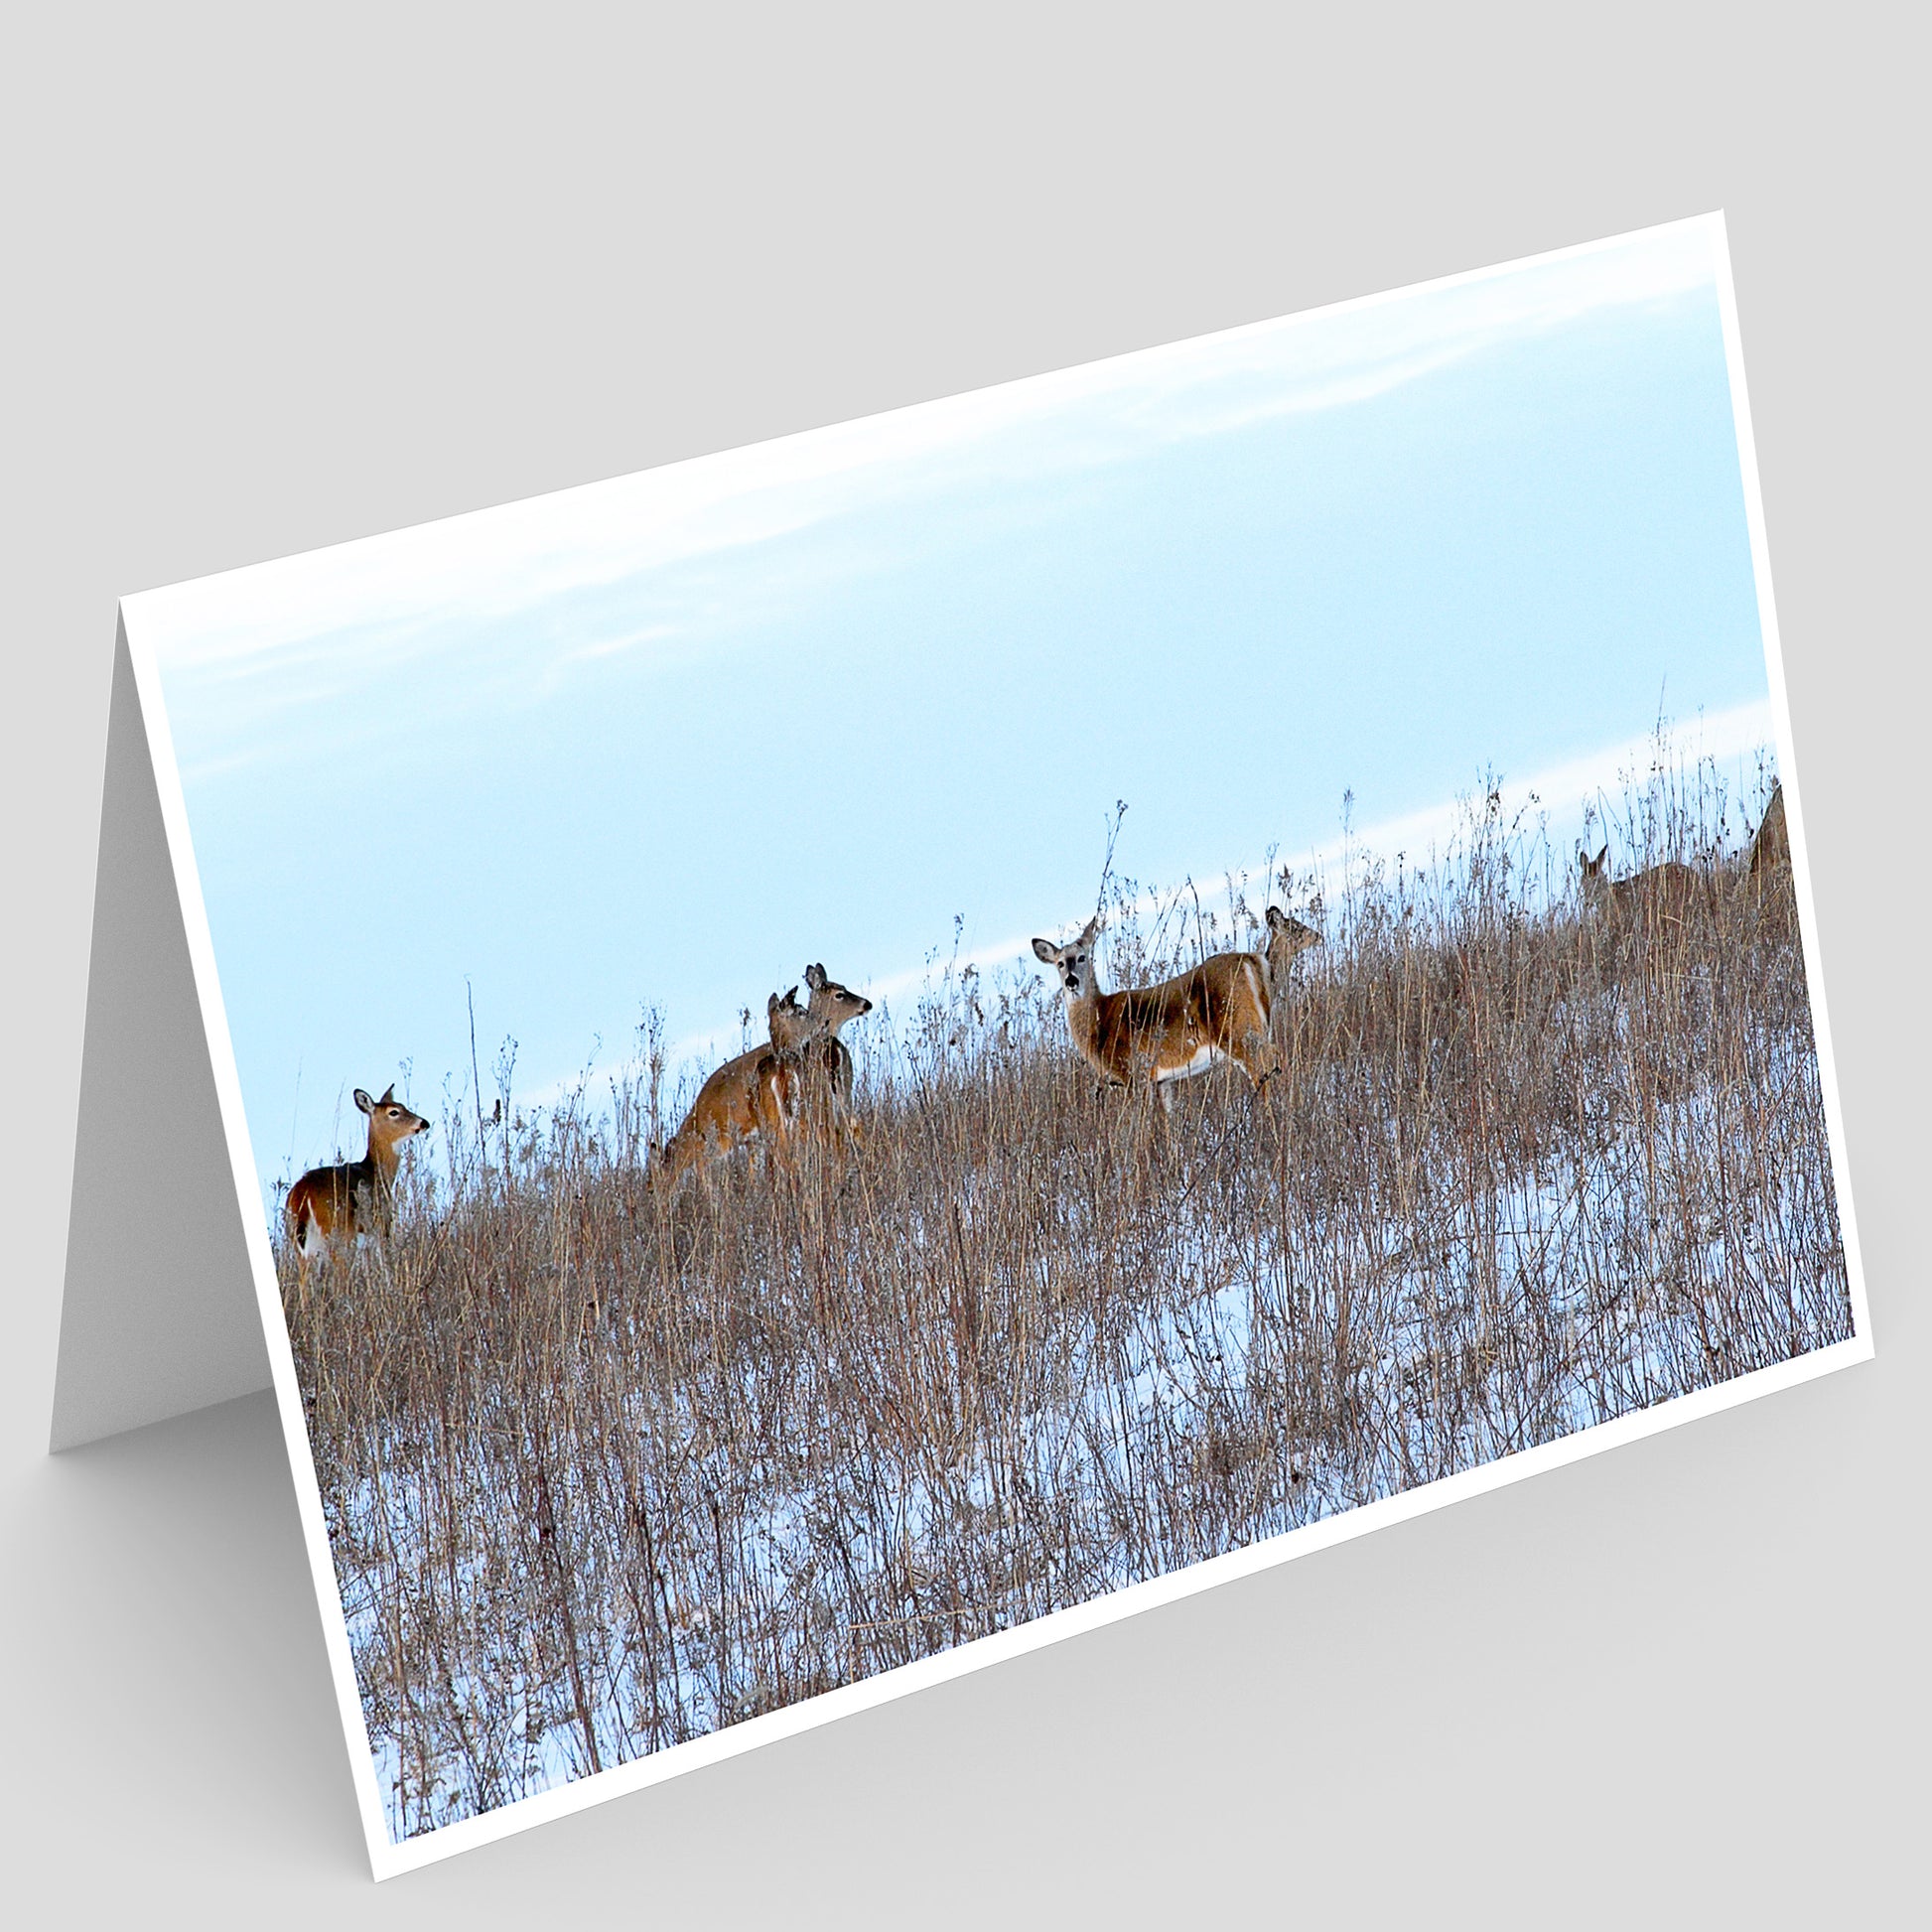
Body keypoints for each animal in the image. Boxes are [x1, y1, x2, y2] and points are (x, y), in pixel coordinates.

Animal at [286, 1084, 431, 1285]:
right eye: (394, 1112)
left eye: (403, 1105)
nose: (424, 1123)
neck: (377, 1172)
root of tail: (303, 1192)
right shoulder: (382, 1223)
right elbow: (386, 1265)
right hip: (339, 1235)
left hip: (300, 1243)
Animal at [651, 989, 828, 1196]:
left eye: (651, 1187)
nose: (824, 1021)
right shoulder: (751, 1141)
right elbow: (753, 1175)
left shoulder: (721, 1140)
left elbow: (706, 1176)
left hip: (774, 1123)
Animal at [1031, 906, 1319, 1115]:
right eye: (1059, 963)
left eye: (1082, 957)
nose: (1071, 981)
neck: (1098, 1023)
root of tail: (1252, 959)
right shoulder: (1162, 1080)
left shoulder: (1133, 1074)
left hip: (1238, 1030)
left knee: (1268, 1065)